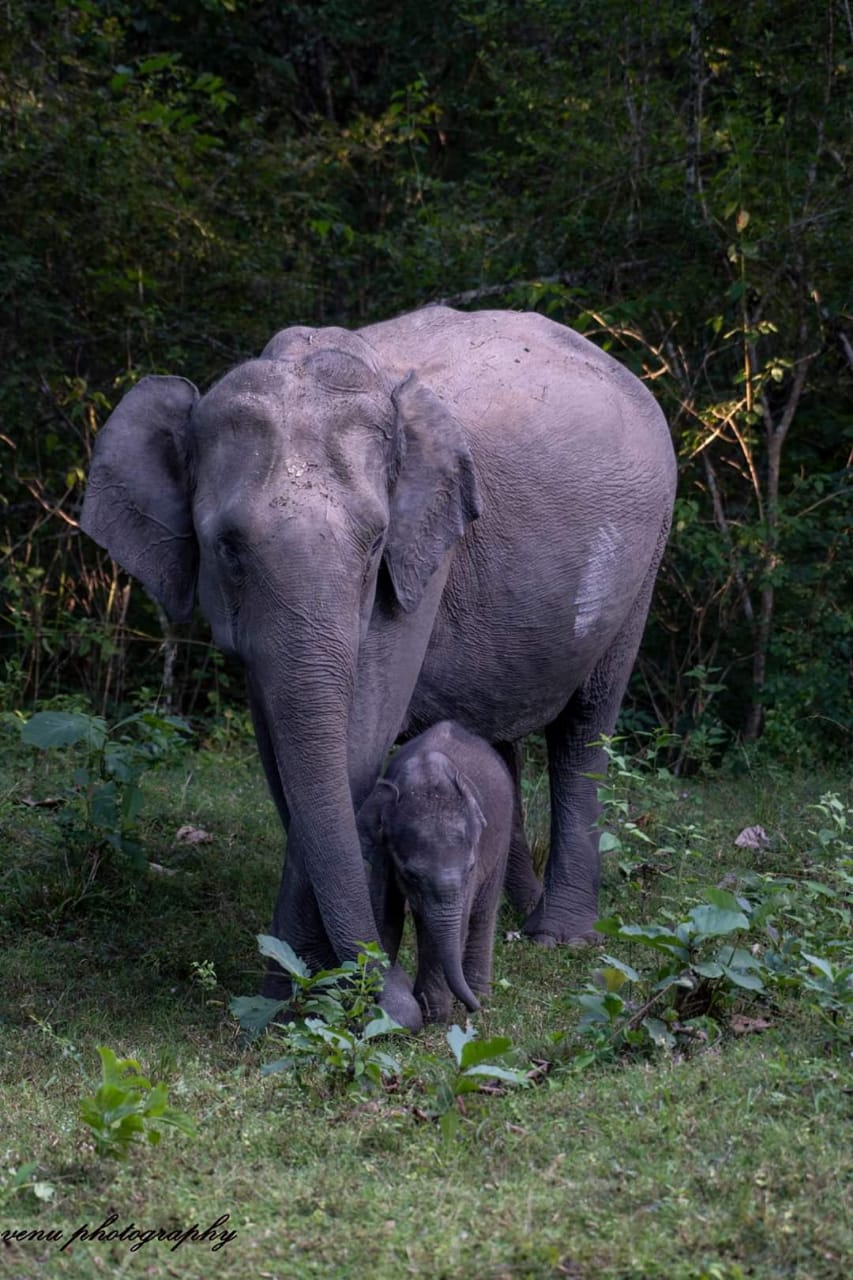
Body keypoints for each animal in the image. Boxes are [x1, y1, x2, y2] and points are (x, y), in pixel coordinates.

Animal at [353, 727, 507, 1024]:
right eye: (411, 875)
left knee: (483, 911)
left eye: (470, 868)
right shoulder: (383, 850)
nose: (474, 1011)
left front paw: (432, 1015)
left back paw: (480, 993)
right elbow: (385, 912)